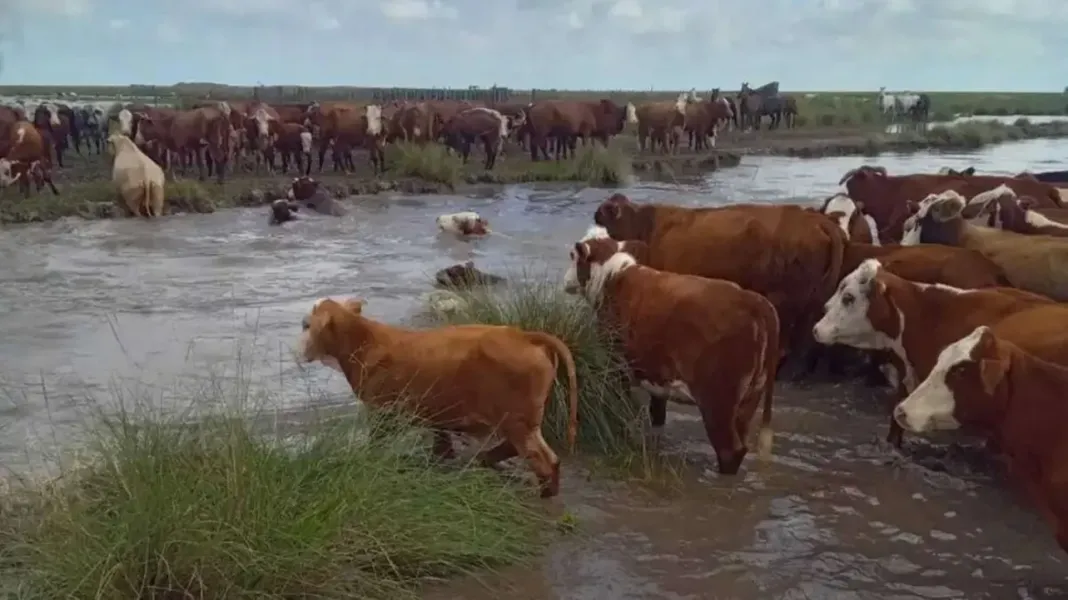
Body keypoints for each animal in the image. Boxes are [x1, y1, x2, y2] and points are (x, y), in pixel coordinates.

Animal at [297, 297, 579, 498]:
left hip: (516, 419)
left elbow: (376, 443)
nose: (300, 350)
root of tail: (522, 335)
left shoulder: (382, 412)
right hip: (524, 419)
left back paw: (544, 491)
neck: (365, 341)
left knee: (543, 459)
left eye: (306, 325)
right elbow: (441, 443)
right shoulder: (435, 413)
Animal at [564, 237, 777, 474]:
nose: (565, 280)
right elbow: (657, 415)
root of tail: (754, 300)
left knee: (729, 450)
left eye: (572, 256)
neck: (614, 278)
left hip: (718, 400)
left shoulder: (615, 366)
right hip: (750, 398)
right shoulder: (658, 375)